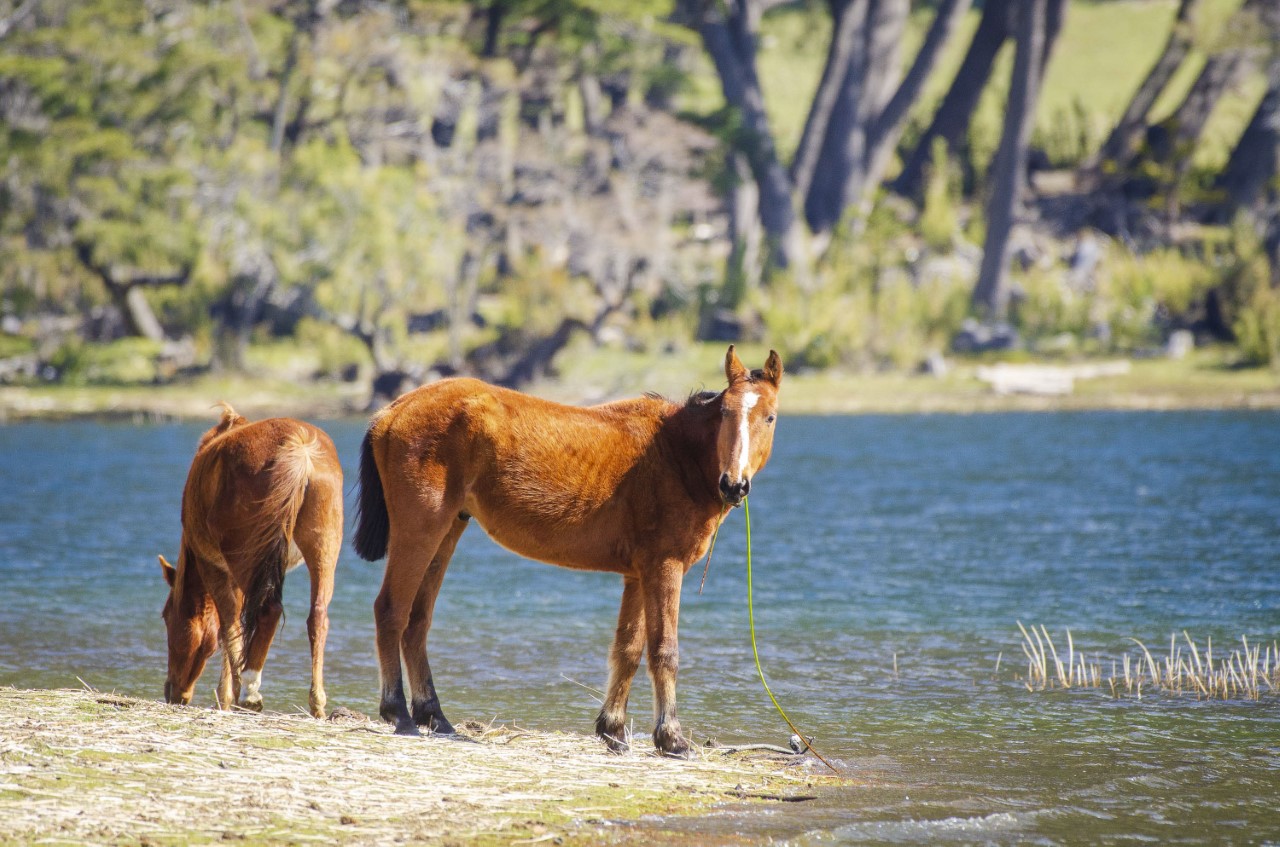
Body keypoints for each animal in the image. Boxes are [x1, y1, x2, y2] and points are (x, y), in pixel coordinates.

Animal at [158, 404, 343, 718]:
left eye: (166, 615)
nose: (172, 692)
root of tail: (300, 448)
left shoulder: (215, 568)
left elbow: (229, 627)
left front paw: (228, 695)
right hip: (323, 546)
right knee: (318, 616)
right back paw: (317, 704)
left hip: (244, 555)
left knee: (268, 611)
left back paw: (250, 691)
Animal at [354, 345, 783, 756]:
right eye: (725, 413)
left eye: (770, 417)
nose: (733, 485)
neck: (674, 454)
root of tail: (393, 409)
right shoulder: (665, 567)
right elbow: (664, 650)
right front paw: (671, 739)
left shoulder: (637, 575)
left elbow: (628, 649)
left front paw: (613, 731)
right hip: (420, 530)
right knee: (391, 610)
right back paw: (398, 712)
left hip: (446, 533)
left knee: (417, 621)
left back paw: (435, 715)